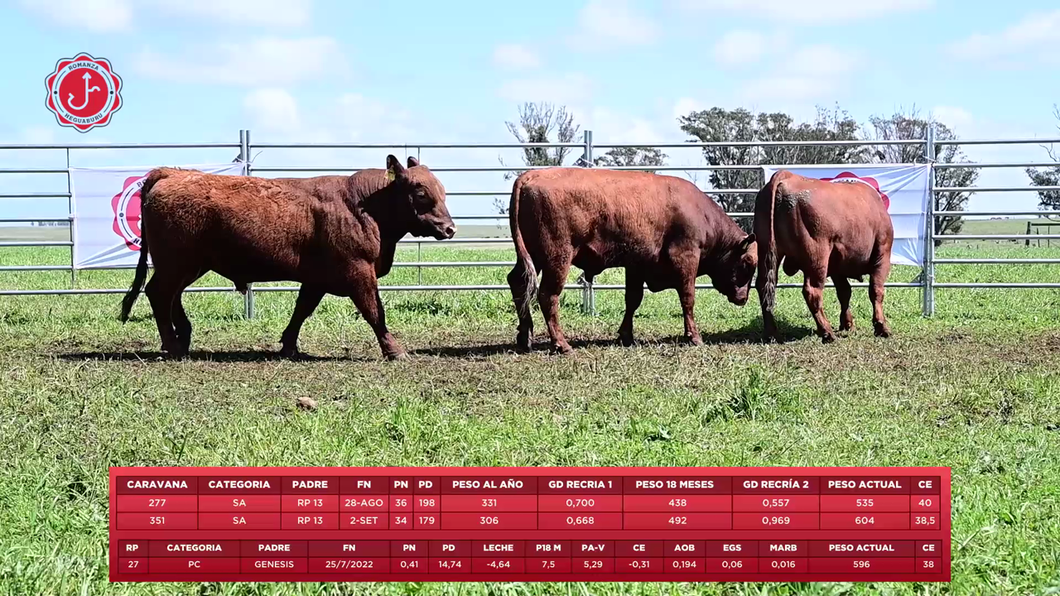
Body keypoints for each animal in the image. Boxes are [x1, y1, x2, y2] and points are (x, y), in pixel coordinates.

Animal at [119, 153, 455, 356]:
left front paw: (289, 346)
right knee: (159, 293)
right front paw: (394, 349)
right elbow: (375, 311)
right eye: (421, 192)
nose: (449, 228)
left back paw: (184, 337)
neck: (365, 206)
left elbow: (302, 309)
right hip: (177, 263)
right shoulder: (359, 271)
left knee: (171, 296)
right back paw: (173, 345)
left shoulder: (318, 279)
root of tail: (170, 174)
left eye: (443, 191)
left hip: (189, 265)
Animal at [508, 165, 758, 352]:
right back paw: (561, 344)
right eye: (748, 264)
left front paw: (626, 336)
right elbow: (687, 299)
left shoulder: (637, 266)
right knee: (548, 295)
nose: (743, 298)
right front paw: (694, 337)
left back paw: (525, 338)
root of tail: (530, 176)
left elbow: (633, 300)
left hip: (533, 258)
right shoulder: (686, 260)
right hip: (557, 258)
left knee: (518, 283)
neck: (700, 214)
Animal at [754, 169, 894, 341]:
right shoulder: (882, 254)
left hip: (766, 249)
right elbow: (876, 290)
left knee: (764, 285)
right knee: (812, 291)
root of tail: (787, 176)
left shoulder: (837, 266)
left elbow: (844, 292)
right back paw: (827, 332)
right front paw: (882, 327)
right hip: (817, 257)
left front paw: (848, 324)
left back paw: (771, 333)